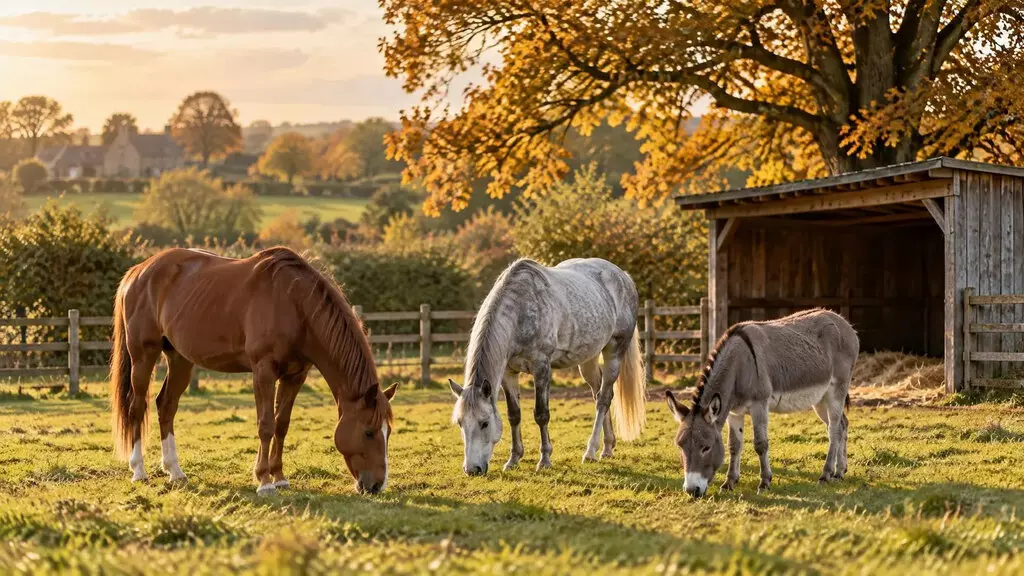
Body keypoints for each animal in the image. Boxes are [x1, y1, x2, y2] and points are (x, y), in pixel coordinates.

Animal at [109, 247, 398, 496]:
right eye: (369, 432)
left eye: (389, 432)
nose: (377, 485)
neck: (295, 304)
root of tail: (138, 272)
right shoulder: (263, 371)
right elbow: (266, 425)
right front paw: (264, 481)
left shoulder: (295, 376)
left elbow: (282, 424)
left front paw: (279, 477)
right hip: (143, 355)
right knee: (137, 407)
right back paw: (139, 471)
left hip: (180, 359)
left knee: (166, 406)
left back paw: (175, 471)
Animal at [449, 257, 646, 474]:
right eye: (460, 423)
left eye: (484, 423)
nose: (471, 469)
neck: (520, 311)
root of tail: (623, 276)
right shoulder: (508, 373)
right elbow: (514, 415)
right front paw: (513, 459)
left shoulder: (541, 368)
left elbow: (541, 414)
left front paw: (544, 460)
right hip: (588, 359)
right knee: (601, 394)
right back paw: (607, 448)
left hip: (614, 351)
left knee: (603, 400)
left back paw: (590, 452)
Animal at [665, 308, 859, 497]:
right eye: (680, 446)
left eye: (706, 448)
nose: (692, 491)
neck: (739, 366)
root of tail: (843, 322)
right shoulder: (734, 412)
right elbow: (734, 445)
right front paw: (729, 483)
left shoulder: (759, 404)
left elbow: (760, 444)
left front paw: (765, 482)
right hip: (820, 399)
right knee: (842, 424)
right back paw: (840, 472)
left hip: (837, 390)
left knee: (833, 430)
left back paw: (826, 474)